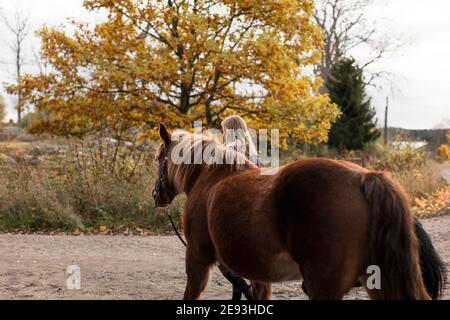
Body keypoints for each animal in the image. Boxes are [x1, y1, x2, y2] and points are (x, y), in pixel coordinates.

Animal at [153, 125, 444, 300]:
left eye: (158, 159)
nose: (156, 195)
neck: (212, 177)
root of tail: (366, 178)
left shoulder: (198, 260)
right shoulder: (258, 274)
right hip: (377, 280)